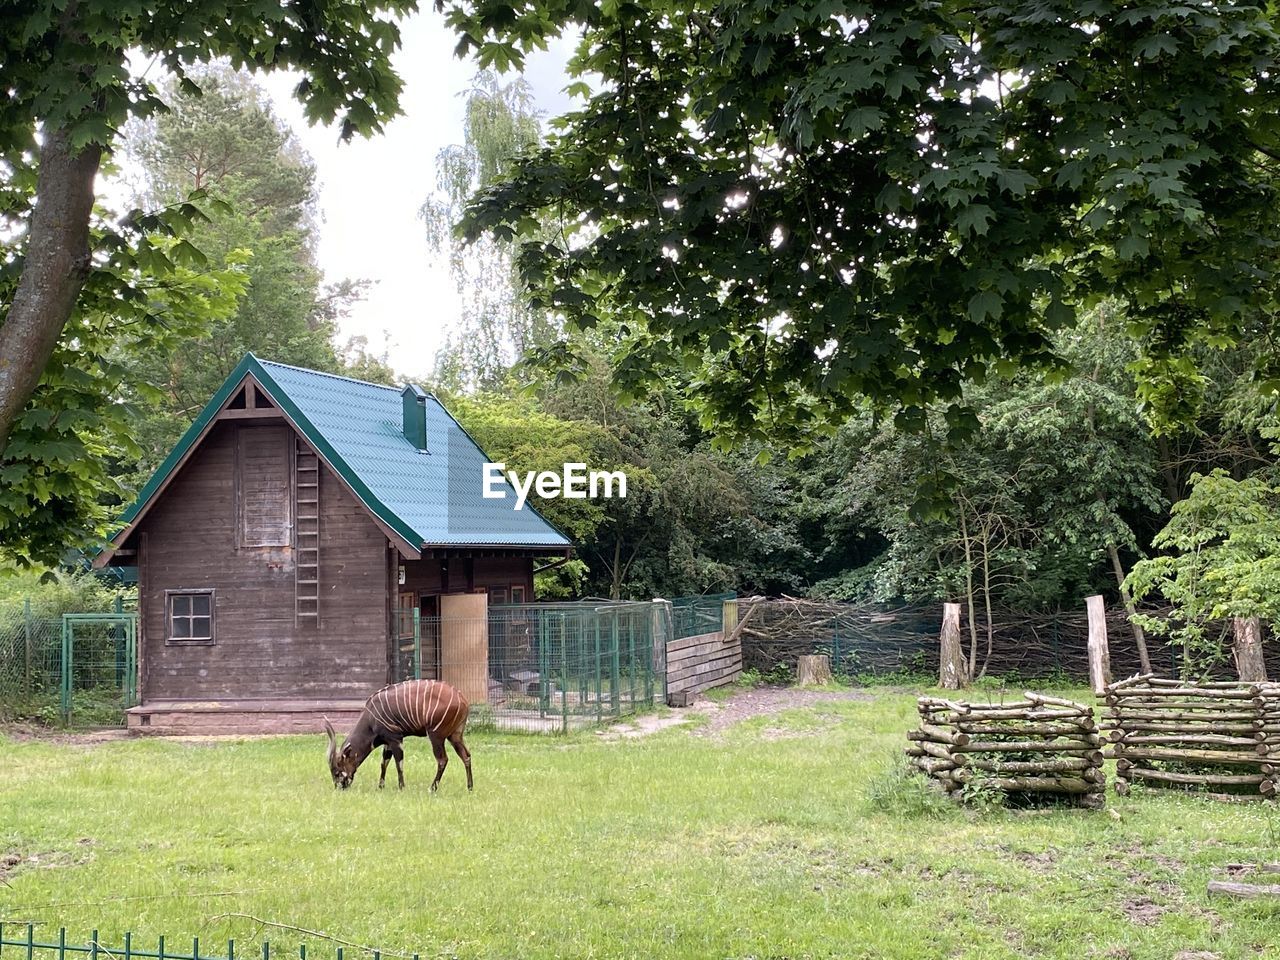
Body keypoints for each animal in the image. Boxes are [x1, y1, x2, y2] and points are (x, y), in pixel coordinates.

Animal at [325, 680, 476, 793]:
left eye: (337, 772)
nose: (339, 788)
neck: (370, 720)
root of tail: (463, 700)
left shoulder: (395, 738)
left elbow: (399, 763)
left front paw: (401, 787)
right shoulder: (387, 741)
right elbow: (384, 763)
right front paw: (381, 786)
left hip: (436, 735)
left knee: (442, 759)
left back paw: (432, 788)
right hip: (455, 735)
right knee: (466, 755)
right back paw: (470, 787)